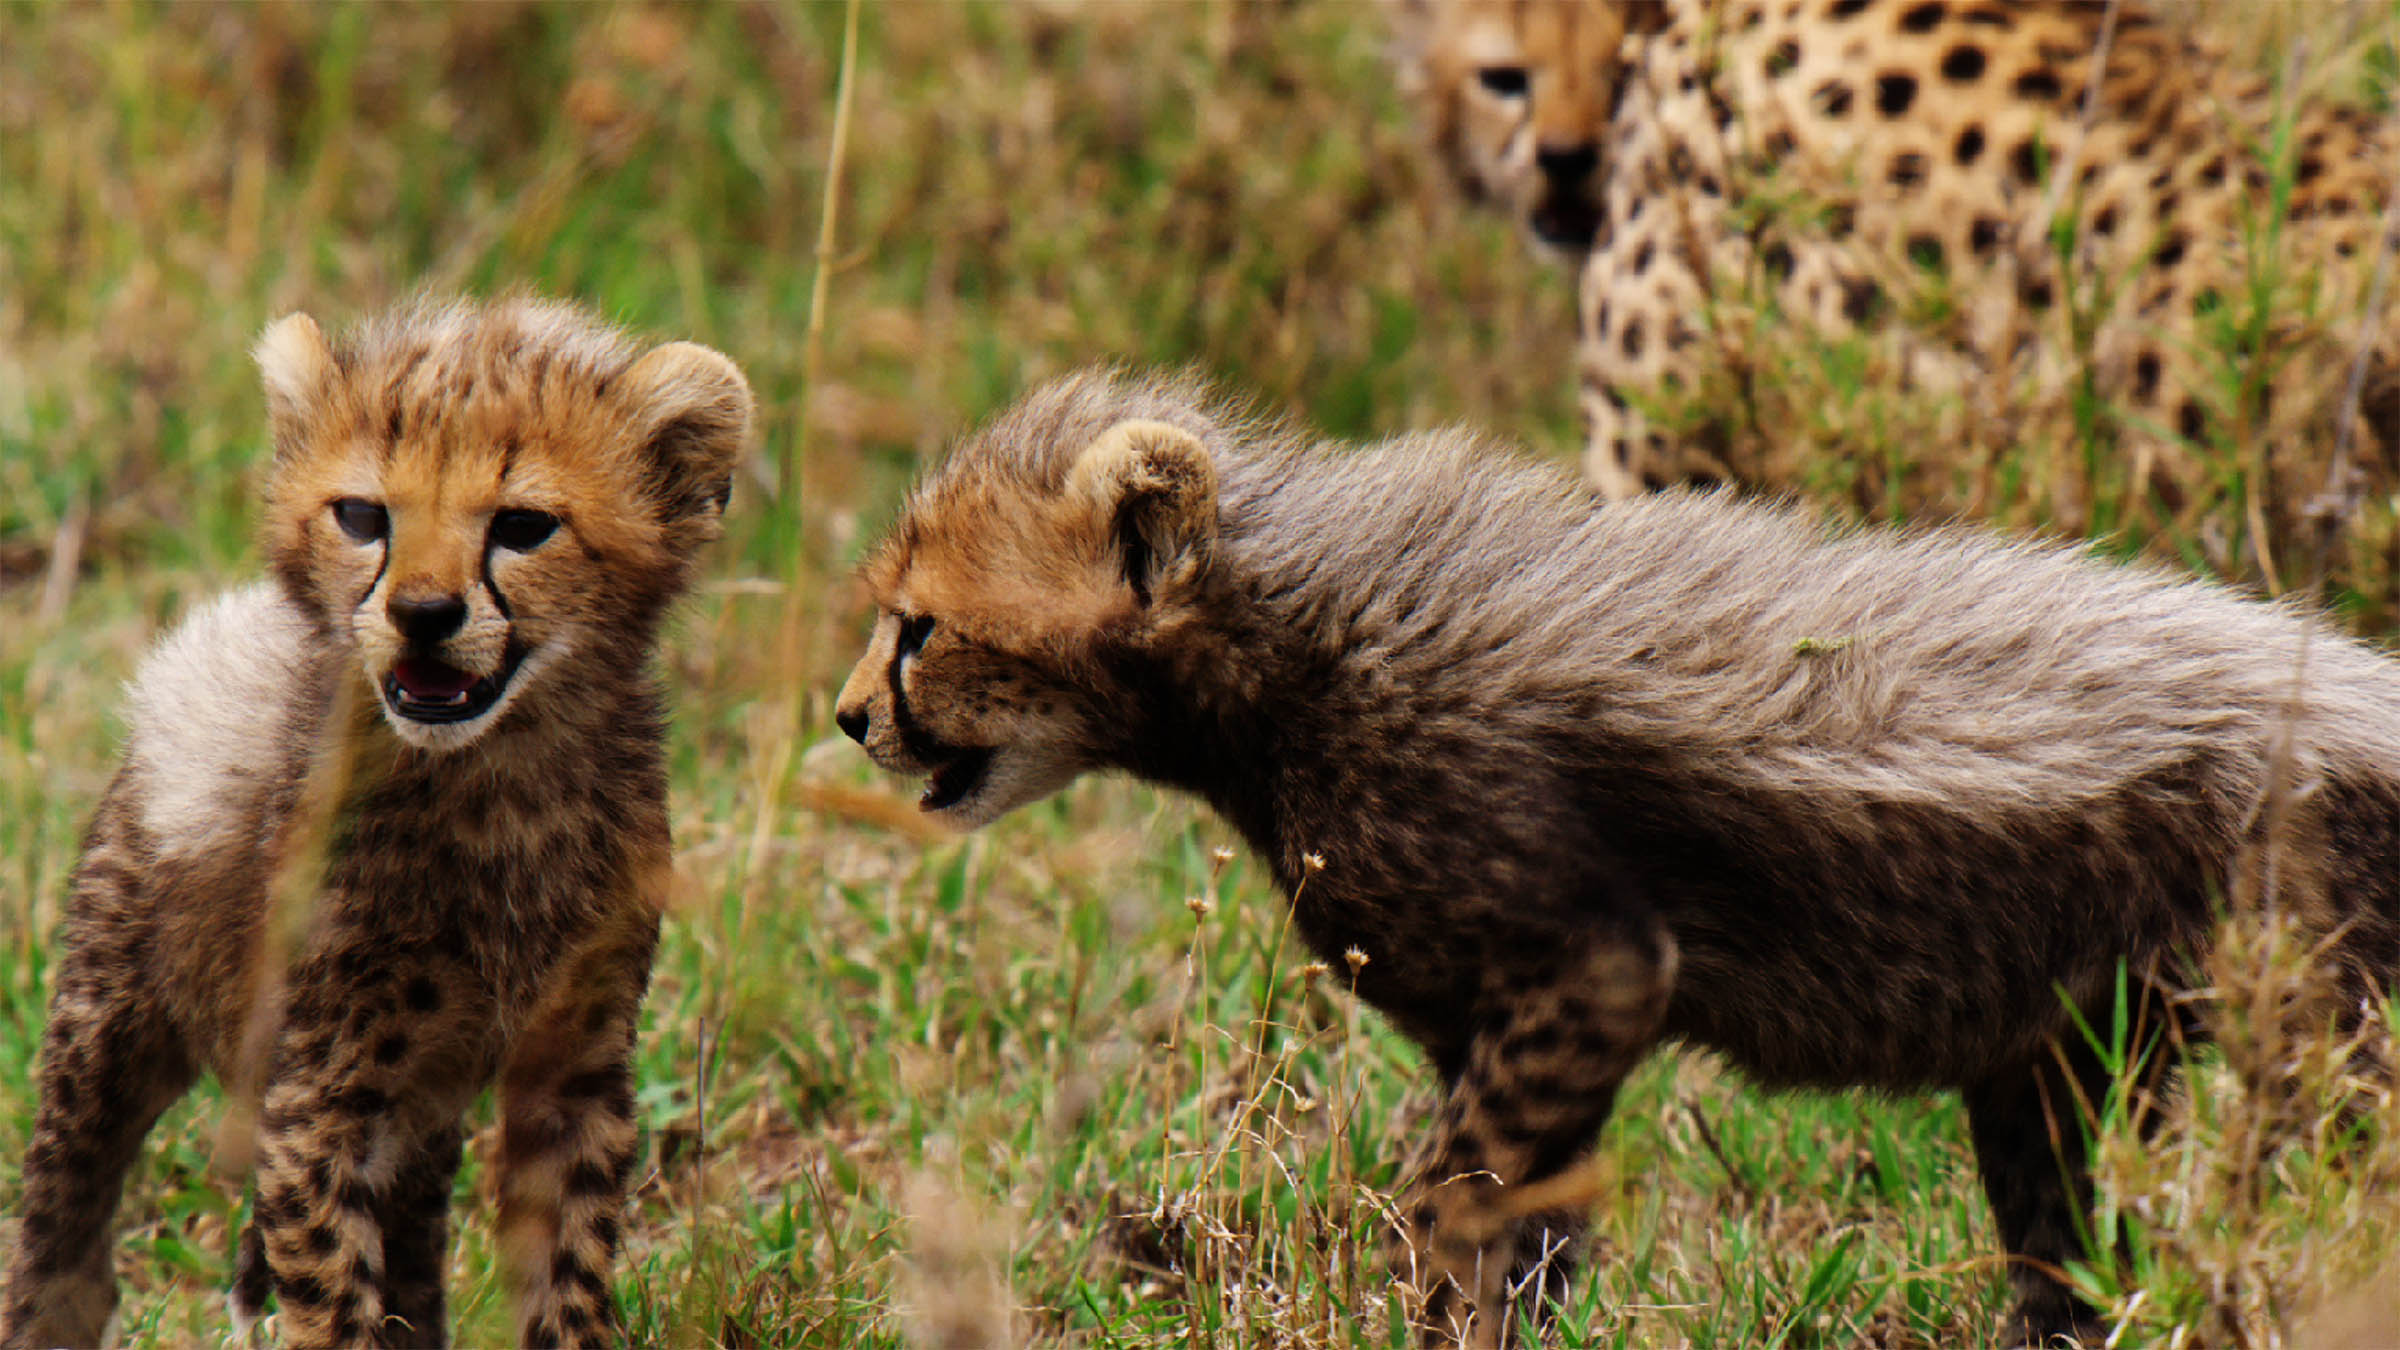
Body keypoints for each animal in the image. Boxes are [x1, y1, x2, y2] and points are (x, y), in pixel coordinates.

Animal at [0, 296, 752, 1349]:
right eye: (363, 517)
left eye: (524, 527)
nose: (423, 614)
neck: (497, 781)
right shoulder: (320, 1087)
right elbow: (330, 1289)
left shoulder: (571, 1064)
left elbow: (565, 1273)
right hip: (110, 1019)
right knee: (63, 1211)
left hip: (420, 1110)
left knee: (415, 1232)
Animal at [833, 368, 2400, 1347]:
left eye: (920, 628)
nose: (848, 718)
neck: (1298, 643)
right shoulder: (1526, 1032)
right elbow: (1520, 1235)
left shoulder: (1594, 968)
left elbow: (1439, 1212)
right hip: (2064, 1058)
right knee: (2074, 1257)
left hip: (2314, 1030)